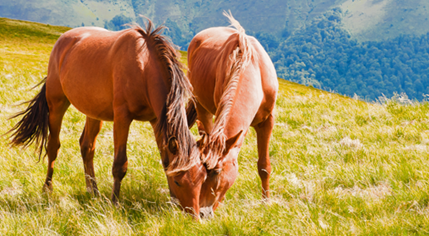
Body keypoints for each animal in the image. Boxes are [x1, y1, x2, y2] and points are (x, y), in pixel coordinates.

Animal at [6, 19, 207, 217]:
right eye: (179, 182)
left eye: (202, 179)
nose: (194, 217)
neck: (143, 66)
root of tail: (62, 40)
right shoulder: (122, 118)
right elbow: (120, 165)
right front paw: (115, 203)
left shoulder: (157, 121)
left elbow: (166, 162)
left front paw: (171, 203)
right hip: (57, 104)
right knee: (53, 146)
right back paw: (48, 188)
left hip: (93, 112)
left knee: (86, 147)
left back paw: (93, 191)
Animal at [187, 11, 278, 218]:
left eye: (218, 172)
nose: (201, 212)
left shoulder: (267, 121)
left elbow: (264, 166)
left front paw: (266, 203)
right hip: (201, 105)